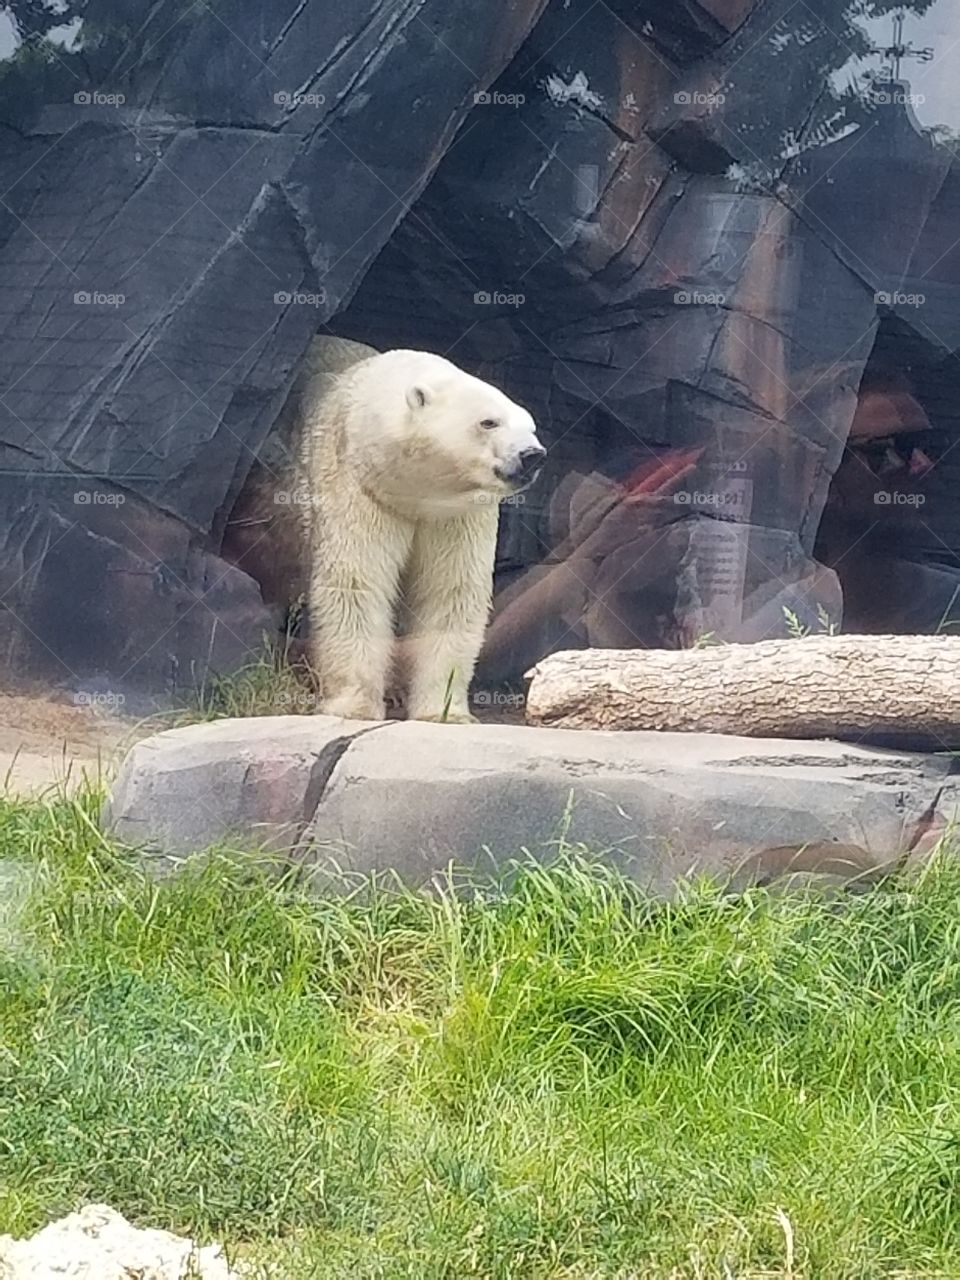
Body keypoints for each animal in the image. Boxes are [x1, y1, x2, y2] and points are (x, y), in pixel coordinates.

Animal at [298, 346, 545, 723]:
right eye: (489, 421)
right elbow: (355, 583)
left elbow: (450, 592)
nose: (533, 455)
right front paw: (354, 707)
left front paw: (445, 712)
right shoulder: (355, 483)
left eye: (531, 426)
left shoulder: (456, 514)